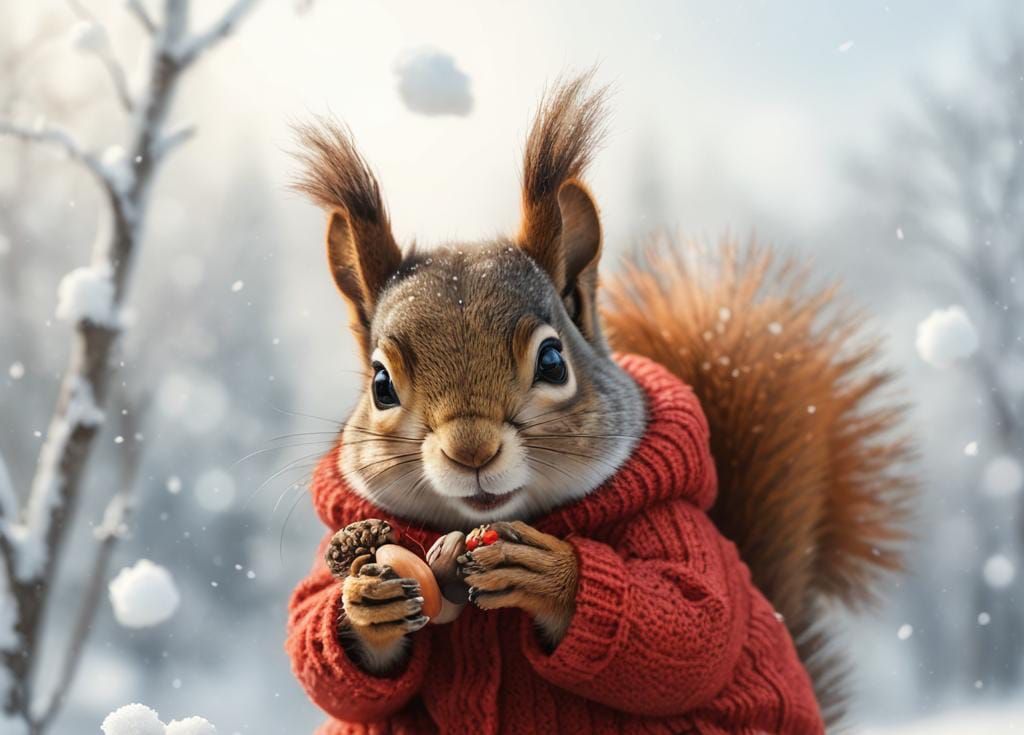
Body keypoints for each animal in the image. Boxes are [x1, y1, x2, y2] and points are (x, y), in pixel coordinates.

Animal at [286, 73, 913, 734]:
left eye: (553, 361)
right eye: (381, 384)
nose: (471, 450)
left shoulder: (677, 528)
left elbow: (695, 622)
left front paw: (550, 575)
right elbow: (322, 653)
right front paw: (364, 599)